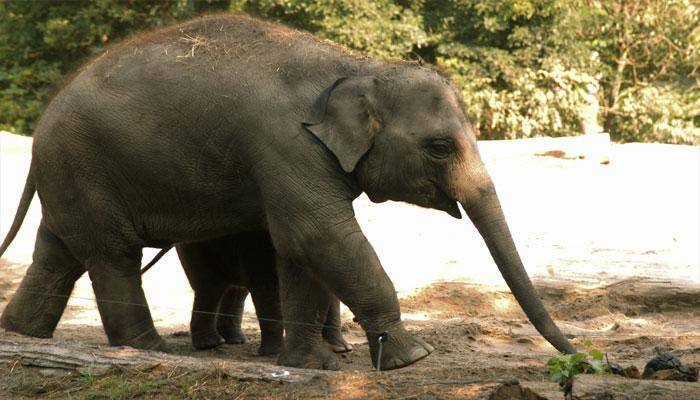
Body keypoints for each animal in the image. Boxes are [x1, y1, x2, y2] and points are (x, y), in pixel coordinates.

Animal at [163, 233, 352, 354]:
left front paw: (342, 348)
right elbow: (266, 284)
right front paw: (275, 353)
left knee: (236, 291)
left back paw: (235, 341)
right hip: (195, 246)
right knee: (211, 287)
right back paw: (211, 344)